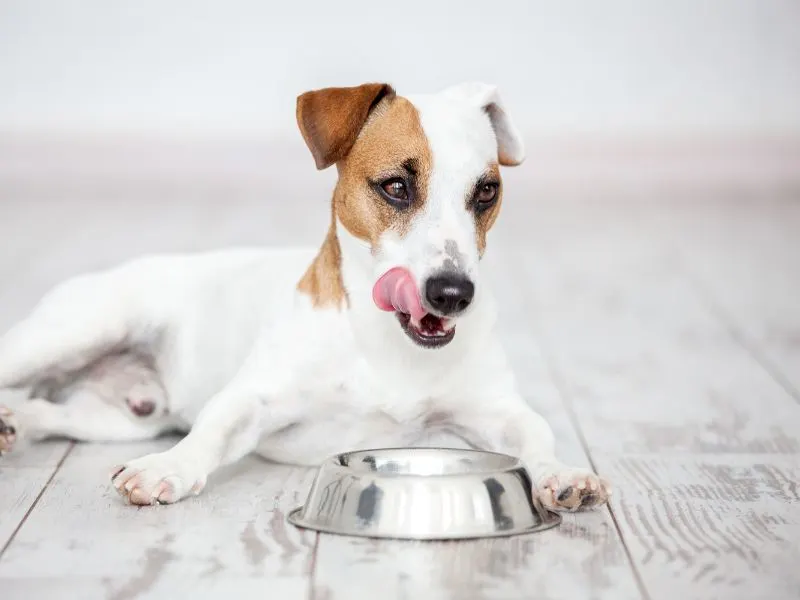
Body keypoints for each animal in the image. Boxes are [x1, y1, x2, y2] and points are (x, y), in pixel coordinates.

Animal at [0, 81, 608, 510]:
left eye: (486, 192)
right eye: (395, 186)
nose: (454, 293)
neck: (382, 341)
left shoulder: (496, 410)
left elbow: (535, 431)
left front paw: (561, 473)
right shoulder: (255, 398)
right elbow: (214, 427)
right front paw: (167, 468)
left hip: (122, 418)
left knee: (48, 411)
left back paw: (13, 423)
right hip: (75, 331)